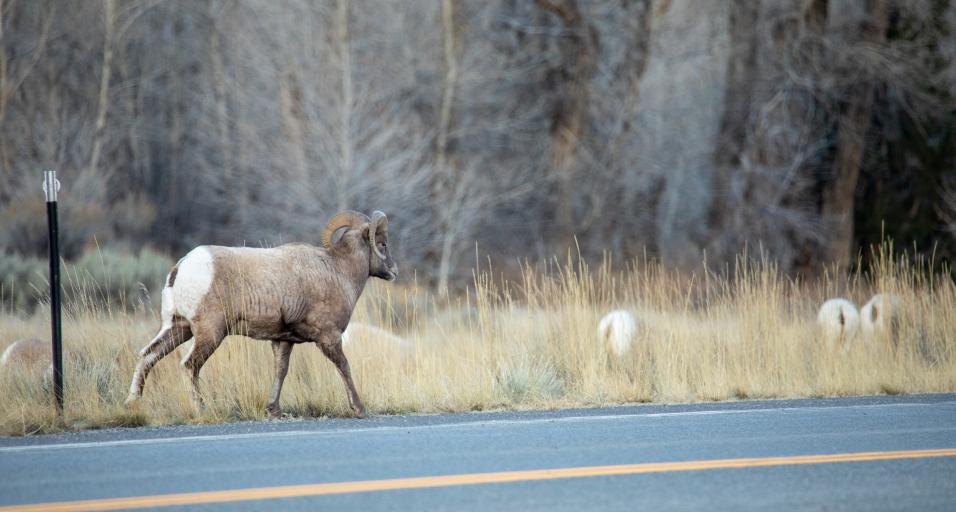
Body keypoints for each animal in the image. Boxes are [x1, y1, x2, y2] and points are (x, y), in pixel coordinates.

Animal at [125, 210, 398, 418]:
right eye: (382, 244)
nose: (394, 271)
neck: (338, 271)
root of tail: (182, 267)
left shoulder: (283, 341)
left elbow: (280, 371)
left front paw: (273, 410)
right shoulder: (329, 337)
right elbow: (344, 368)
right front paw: (359, 409)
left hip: (177, 328)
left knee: (147, 356)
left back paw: (132, 402)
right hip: (209, 333)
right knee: (190, 365)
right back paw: (201, 409)